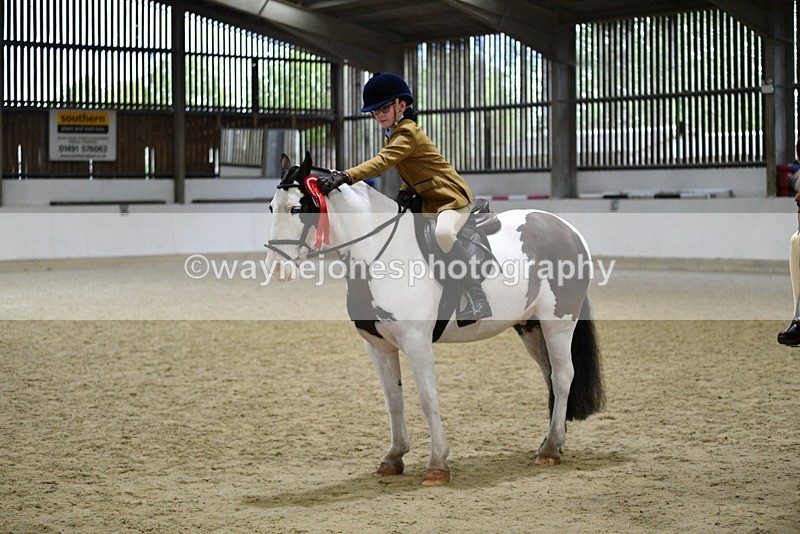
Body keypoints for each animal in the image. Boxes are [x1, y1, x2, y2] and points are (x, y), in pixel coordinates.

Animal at [264, 152, 605, 486]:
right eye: (271, 208)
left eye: (297, 208)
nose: (278, 269)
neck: (380, 256)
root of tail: (567, 229)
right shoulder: (378, 346)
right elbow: (393, 400)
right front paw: (393, 457)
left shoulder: (417, 342)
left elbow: (428, 398)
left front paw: (437, 464)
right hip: (530, 327)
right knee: (550, 377)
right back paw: (551, 442)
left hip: (558, 321)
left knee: (562, 377)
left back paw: (550, 449)